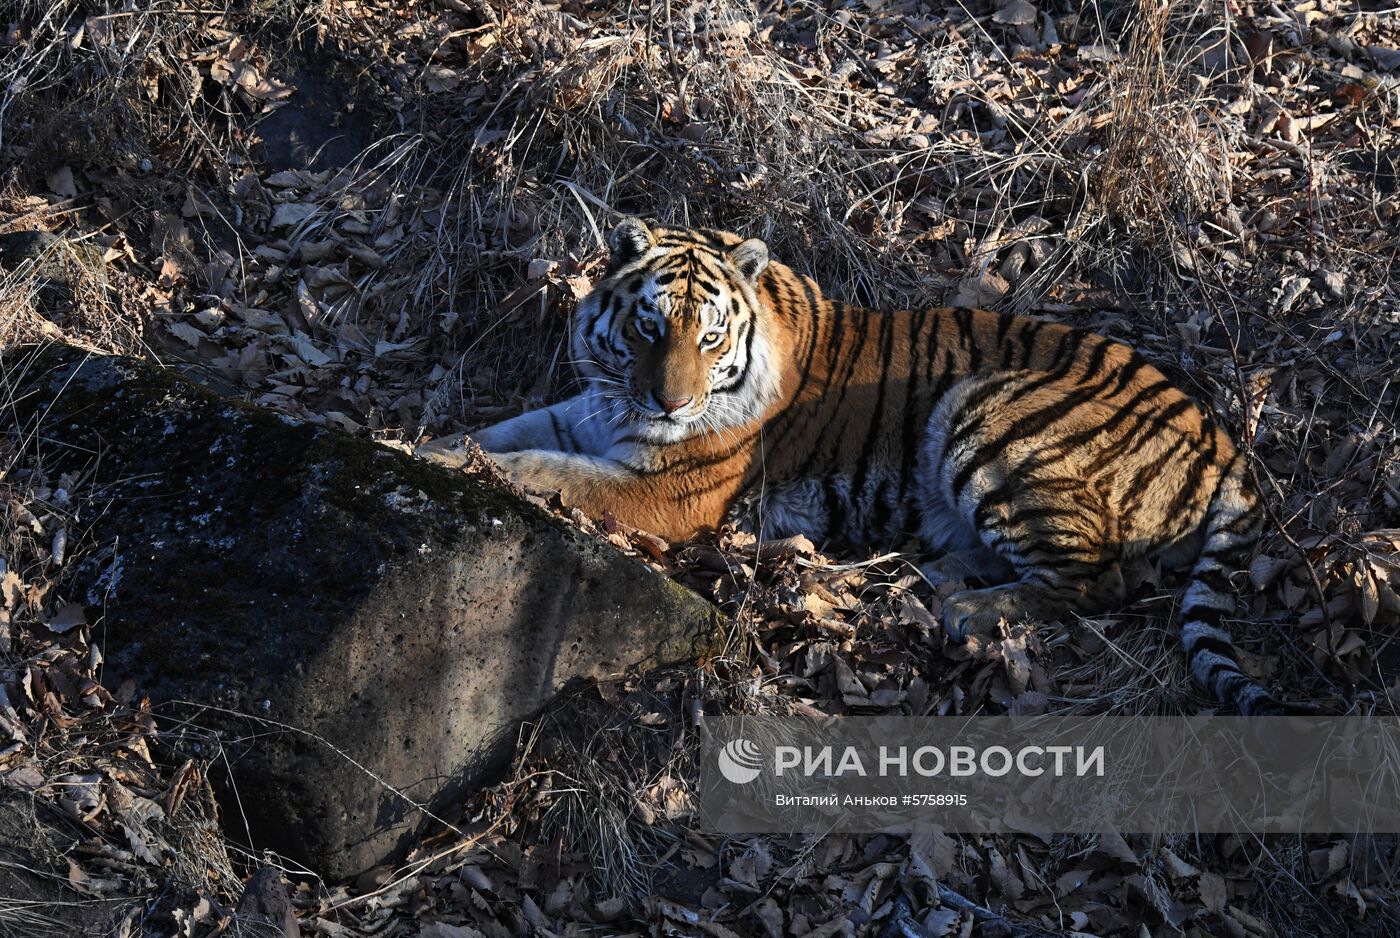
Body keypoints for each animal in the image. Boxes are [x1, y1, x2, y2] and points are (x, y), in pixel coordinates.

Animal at [420, 221, 1282, 716]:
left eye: (708, 338)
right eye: (649, 327)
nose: (670, 403)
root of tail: (1224, 438)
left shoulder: (667, 492)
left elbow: (549, 470)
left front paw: (455, 464)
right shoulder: (590, 412)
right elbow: (511, 431)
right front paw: (429, 448)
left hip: (987, 406)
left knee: (1099, 580)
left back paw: (968, 610)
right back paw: (947, 577)